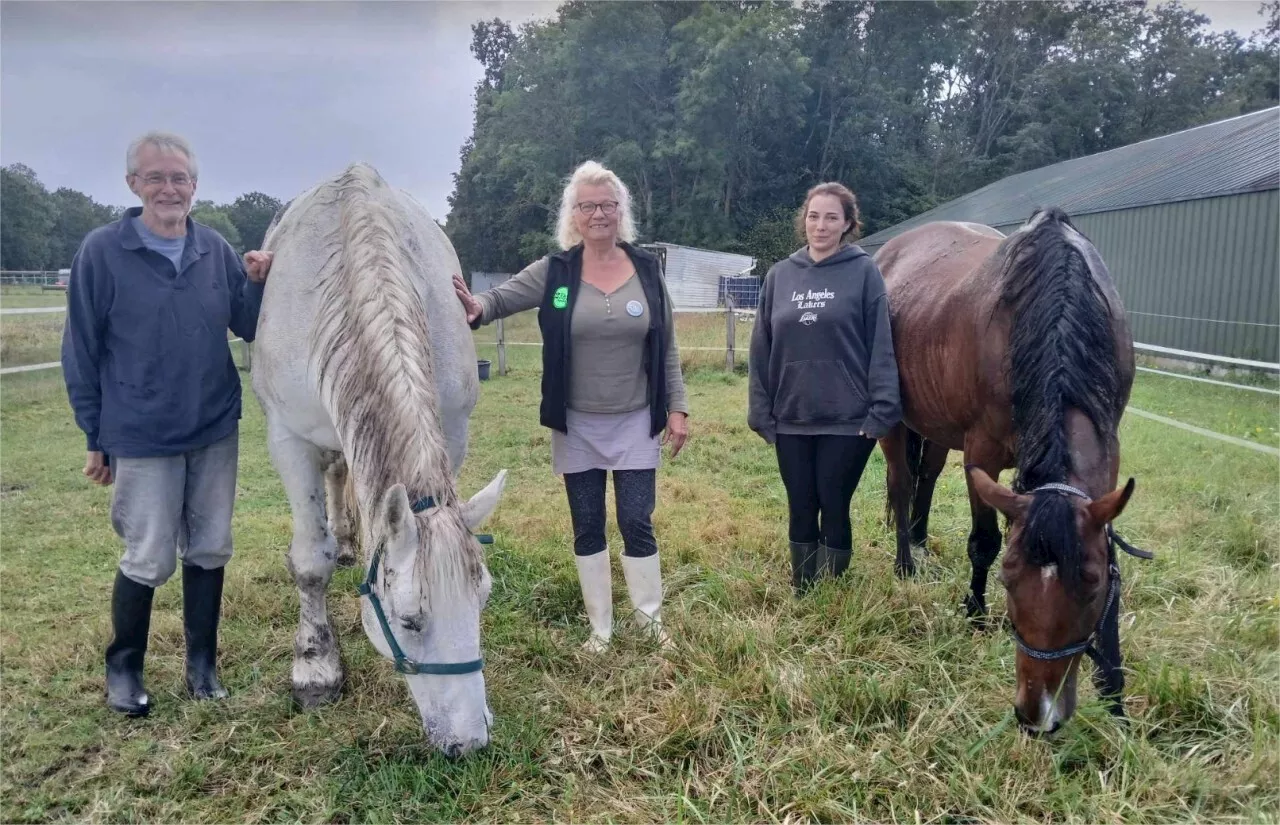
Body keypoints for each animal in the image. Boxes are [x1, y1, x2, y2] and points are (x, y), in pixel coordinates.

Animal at [247, 163, 506, 757]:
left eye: (482, 600)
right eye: (408, 621)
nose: (469, 743)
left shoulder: (452, 431)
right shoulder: (288, 439)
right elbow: (309, 561)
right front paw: (315, 668)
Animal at [880, 207, 1152, 731]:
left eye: (1092, 583)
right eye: (1008, 579)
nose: (1037, 714)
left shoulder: (1109, 451)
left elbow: (1111, 548)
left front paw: (1113, 689)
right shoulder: (981, 452)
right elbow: (983, 542)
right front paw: (975, 611)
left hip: (937, 428)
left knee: (926, 478)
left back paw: (921, 542)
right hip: (897, 421)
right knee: (902, 486)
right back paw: (905, 563)